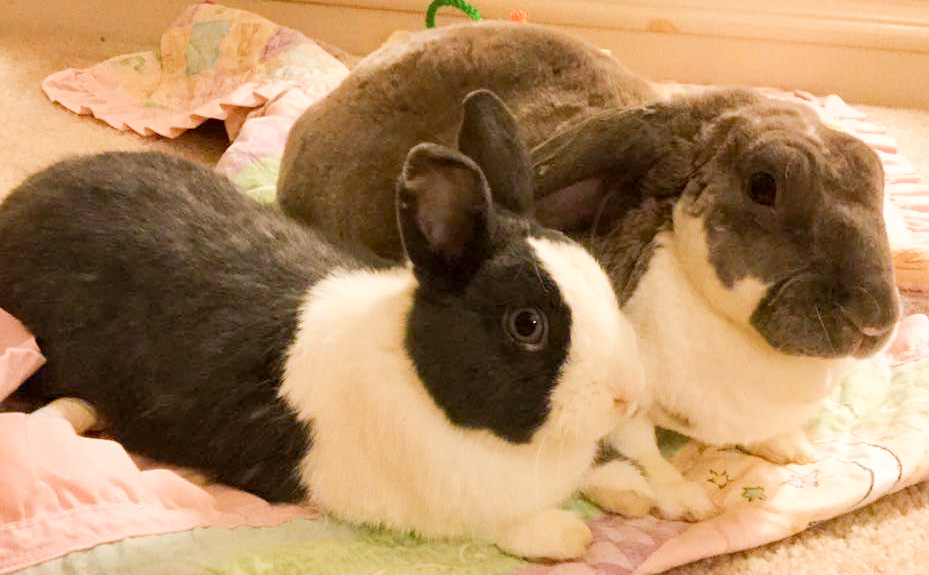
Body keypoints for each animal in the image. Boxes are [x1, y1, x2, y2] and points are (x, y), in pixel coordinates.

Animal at [0, 90, 649, 560]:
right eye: (527, 324)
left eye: (602, 280)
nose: (627, 395)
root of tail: (16, 208)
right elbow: (499, 524)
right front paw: (567, 534)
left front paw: (639, 491)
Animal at [274, 23, 900, 521]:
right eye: (764, 186)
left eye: (875, 176)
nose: (878, 321)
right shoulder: (614, 401)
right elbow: (637, 446)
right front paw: (677, 498)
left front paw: (788, 448)